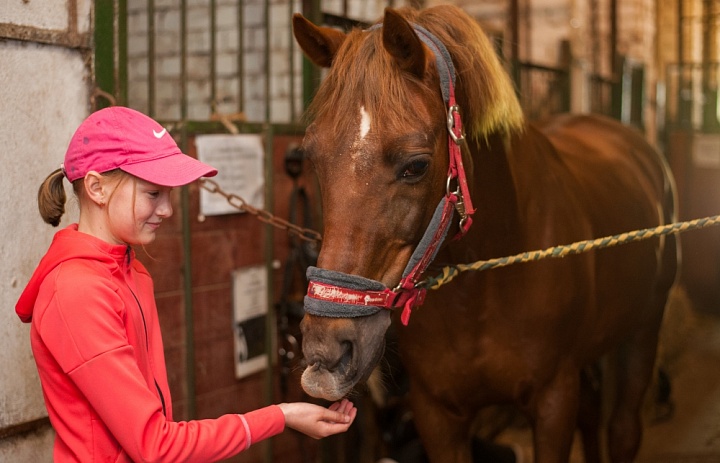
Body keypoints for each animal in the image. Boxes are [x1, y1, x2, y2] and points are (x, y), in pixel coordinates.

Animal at [290, 5, 676, 462]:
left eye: (415, 165)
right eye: (313, 157)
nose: (327, 350)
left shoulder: (553, 401)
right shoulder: (436, 414)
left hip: (643, 330)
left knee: (622, 429)